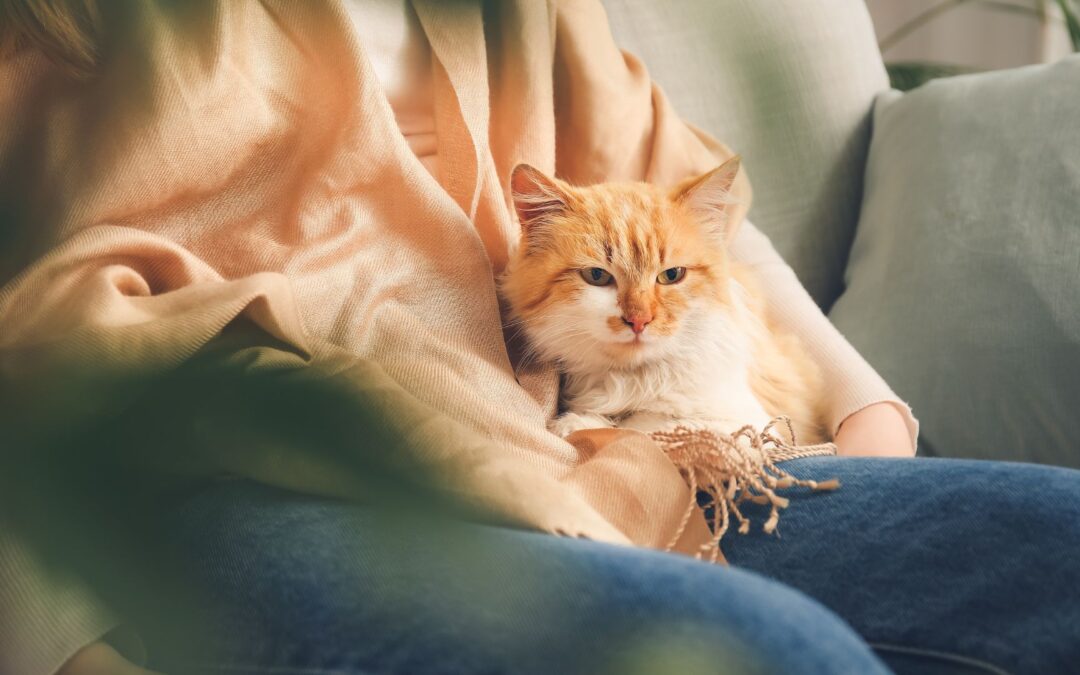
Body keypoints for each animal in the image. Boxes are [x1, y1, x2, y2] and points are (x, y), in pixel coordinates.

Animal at [496, 155, 825, 444]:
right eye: (597, 276)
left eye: (672, 275)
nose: (639, 321)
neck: (635, 379)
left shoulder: (746, 425)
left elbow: (648, 426)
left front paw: (578, 424)